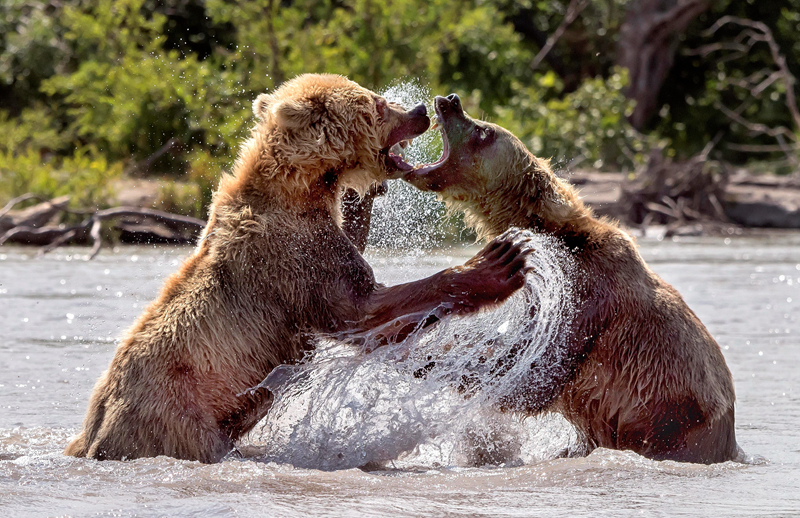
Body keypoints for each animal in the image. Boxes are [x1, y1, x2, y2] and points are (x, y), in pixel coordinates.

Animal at [65, 76, 536, 464]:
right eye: (378, 104)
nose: (420, 110)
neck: (303, 188)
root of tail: (91, 436)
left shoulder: (316, 239)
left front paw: (361, 202)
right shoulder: (291, 260)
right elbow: (359, 311)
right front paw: (498, 263)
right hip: (177, 415)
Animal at [404, 94, 740, 468]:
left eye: (484, 132)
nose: (450, 101)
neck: (556, 236)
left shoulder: (590, 292)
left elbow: (537, 377)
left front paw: (426, 357)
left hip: (675, 424)